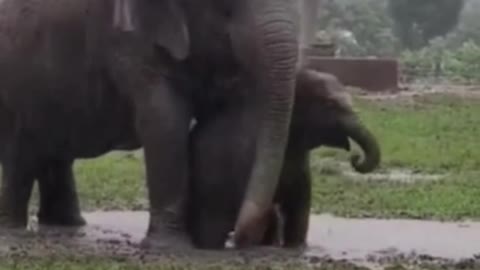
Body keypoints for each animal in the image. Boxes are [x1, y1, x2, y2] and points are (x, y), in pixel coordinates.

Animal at [0, 0, 300, 249]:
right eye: (226, 5)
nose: (242, 238)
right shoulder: (128, 40)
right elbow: (164, 121)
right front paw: (171, 246)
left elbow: (226, 128)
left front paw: (203, 242)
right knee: (22, 150)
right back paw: (15, 230)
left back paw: (68, 224)